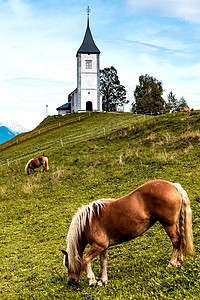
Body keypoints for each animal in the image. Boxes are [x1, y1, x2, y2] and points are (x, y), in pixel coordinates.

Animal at [61, 179, 193, 288]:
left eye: (67, 264)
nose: (70, 281)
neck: (89, 221)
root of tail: (173, 185)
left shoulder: (99, 245)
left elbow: (86, 260)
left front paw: (92, 281)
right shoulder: (103, 247)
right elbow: (103, 262)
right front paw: (103, 281)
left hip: (168, 224)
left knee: (176, 241)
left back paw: (172, 263)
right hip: (174, 223)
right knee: (180, 238)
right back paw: (178, 261)